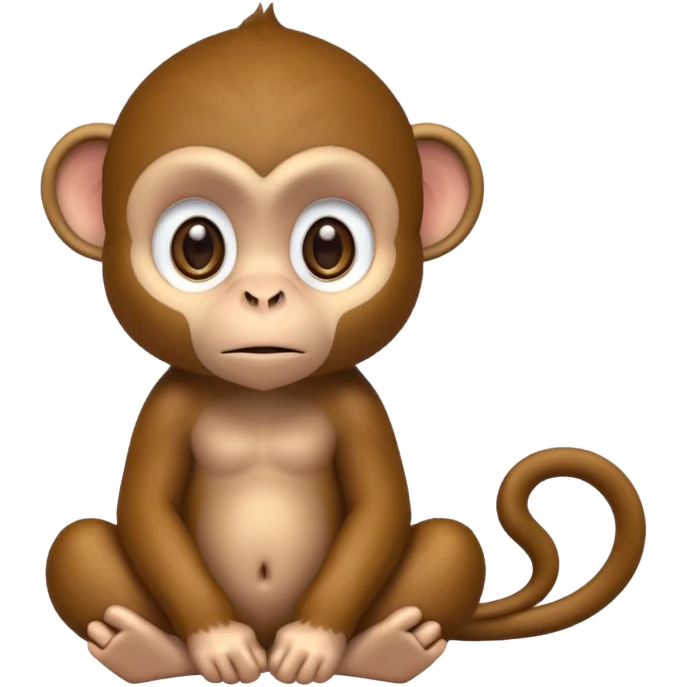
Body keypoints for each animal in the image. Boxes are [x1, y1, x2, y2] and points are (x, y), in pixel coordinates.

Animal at [40, 4, 647, 685]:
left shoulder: (358, 404)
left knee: (451, 544)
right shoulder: (167, 404)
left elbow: (378, 509)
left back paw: (389, 646)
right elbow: (148, 510)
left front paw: (312, 644)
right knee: (76, 544)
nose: (263, 296)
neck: (263, 398)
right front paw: (219, 643)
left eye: (328, 245)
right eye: (197, 245)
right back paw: (142, 647)